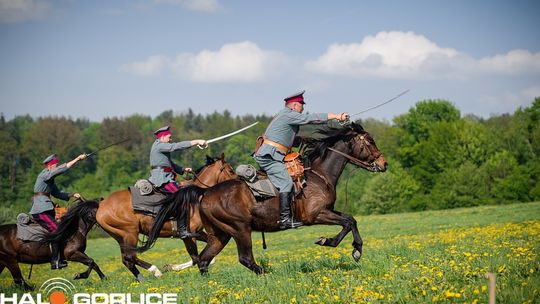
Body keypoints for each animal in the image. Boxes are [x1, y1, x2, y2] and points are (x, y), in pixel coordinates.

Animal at [93, 154, 236, 280]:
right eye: (230, 170)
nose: (238, 181)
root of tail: (101, 205)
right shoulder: (187, 236)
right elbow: (196, 258)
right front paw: (172, 267)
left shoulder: (198, 233)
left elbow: (207, 257)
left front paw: (172, 267)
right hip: (130, 233)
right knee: (130, 257)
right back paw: (156, 271)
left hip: (121, 238)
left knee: (126, 260)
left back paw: (143, 279)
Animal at [138, 122, 384, 274]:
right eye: (370, 141)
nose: (384, 163)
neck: (318, 174)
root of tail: (205, 192)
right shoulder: (317, 215)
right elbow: (348, 222)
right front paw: (337, 244)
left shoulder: (328, 211)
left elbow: (351, 219)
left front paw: (352, 248)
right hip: (240, 230)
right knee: (244, 259)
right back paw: (266, 274)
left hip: (220, 235)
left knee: (204, 260)